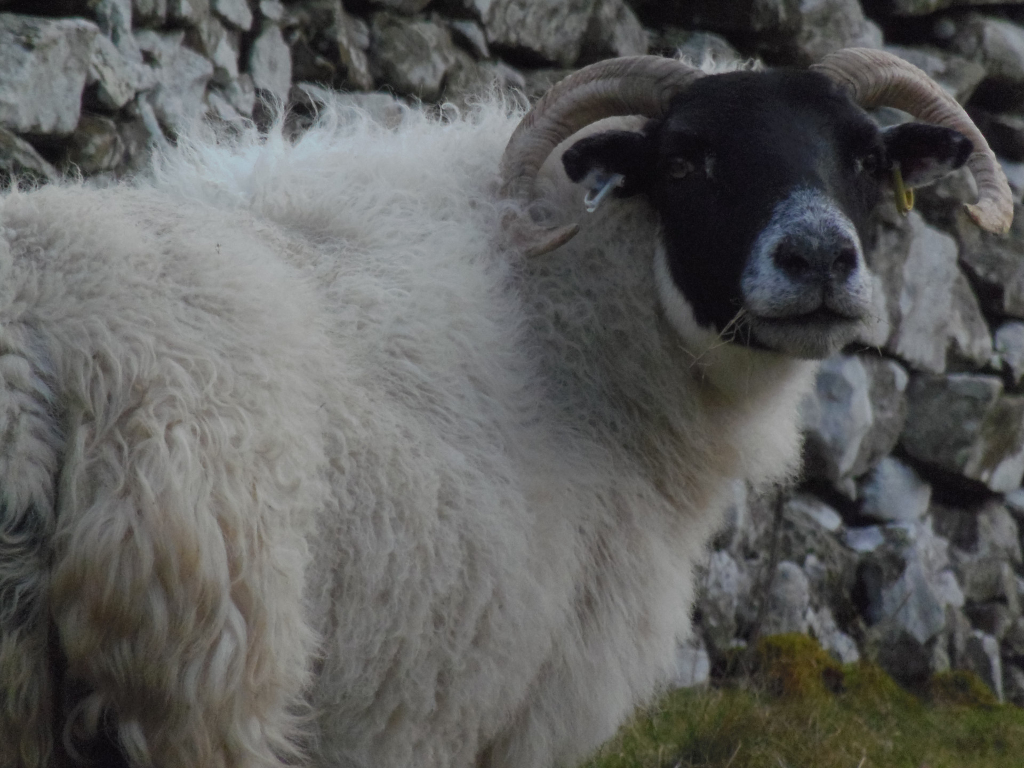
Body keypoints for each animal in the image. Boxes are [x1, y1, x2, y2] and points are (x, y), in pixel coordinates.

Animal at [0, 49, 1012, 768]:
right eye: (686, 159)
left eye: (866, 156)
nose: (820, 260)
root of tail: (40, 344)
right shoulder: (490, 707)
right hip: (203, 669)